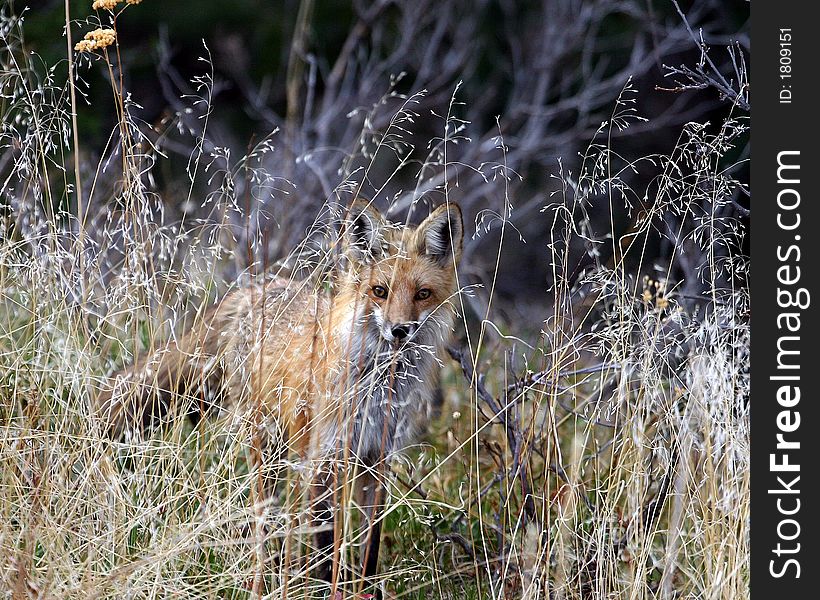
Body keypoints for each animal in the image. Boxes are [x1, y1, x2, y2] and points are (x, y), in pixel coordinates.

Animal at [96, 200, 462, 596]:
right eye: (380, 291)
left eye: (422, 293)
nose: (399, 330)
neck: (374, 388)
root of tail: (252, 290)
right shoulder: (323, 459)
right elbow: (325, 548)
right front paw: (326, 591)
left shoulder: (376, 459)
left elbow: (371, 544)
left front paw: (363, 589)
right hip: (266, 448)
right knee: (262, 525)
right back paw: (264, 578)